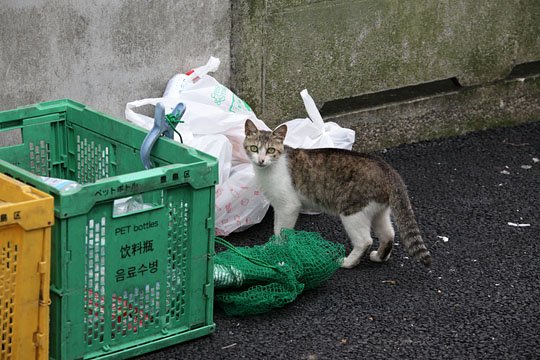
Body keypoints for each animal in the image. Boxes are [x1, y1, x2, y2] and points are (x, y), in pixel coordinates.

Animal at [244, 119, 430, 268]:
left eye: (270, 150)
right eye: (254, 148)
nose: (261, 160)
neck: (270, 168)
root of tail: (388, 170)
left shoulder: (288, 206)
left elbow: (280, 230)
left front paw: (278, 248)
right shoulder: (278, 206)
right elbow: (277, 227)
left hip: (352, 211)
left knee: (365, 240)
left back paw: (347, 262)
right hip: (378, 211)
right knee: (388, 234)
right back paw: (379, 257)